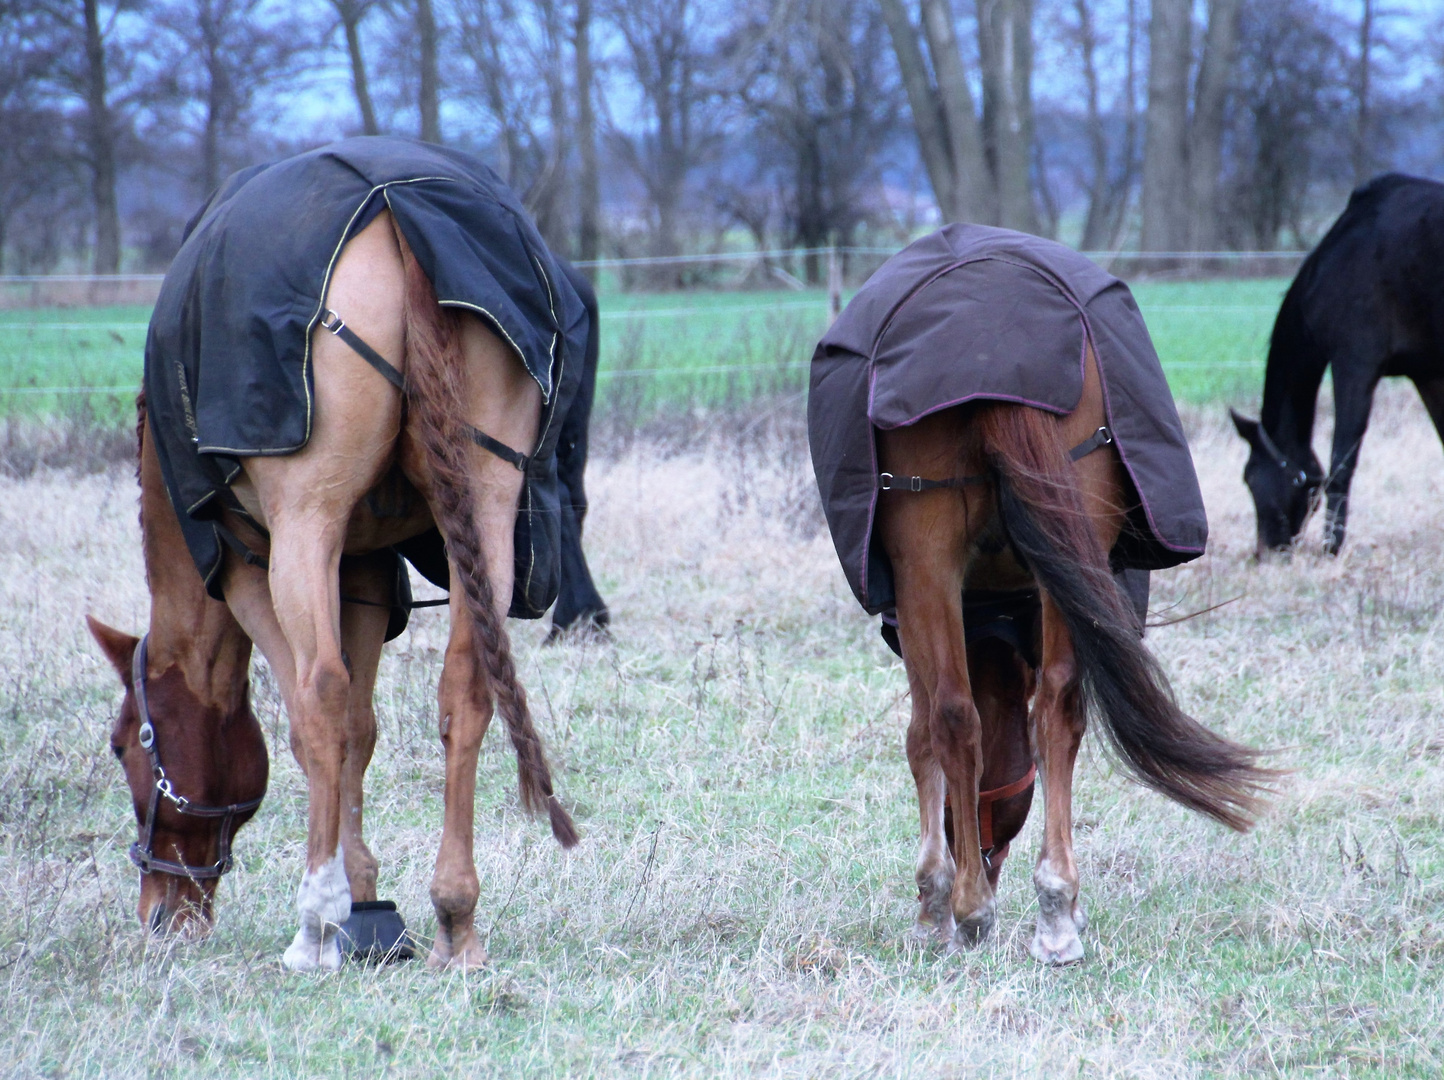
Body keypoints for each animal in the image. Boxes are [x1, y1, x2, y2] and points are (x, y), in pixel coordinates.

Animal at [90, 139, 580, 976]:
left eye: (127, 748)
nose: (162, 913)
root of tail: (403, 209)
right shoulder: (364, 576)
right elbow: (362, 725)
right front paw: (372, 898)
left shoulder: (251, 567)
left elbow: (317, 716)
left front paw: (343, 901)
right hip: (485, 503)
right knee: (466, 692)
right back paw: (455, 917)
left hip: (304, 525)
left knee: (318, 693)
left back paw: (314, 923)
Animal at [814, 225, 1276, 964]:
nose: (980, 854)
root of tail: (993, 344)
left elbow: (922, 734)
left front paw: (934, 905)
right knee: (1050, 706)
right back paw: (1048, 910)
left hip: (930, 556)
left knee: (959, 711)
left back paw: (982, 908)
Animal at [1230, 173, 1444, 557]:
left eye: (1250, 477)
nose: (1264, 552)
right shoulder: (1428, 375)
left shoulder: (1354, 365)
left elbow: (1341, 461)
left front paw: (1332, 546)